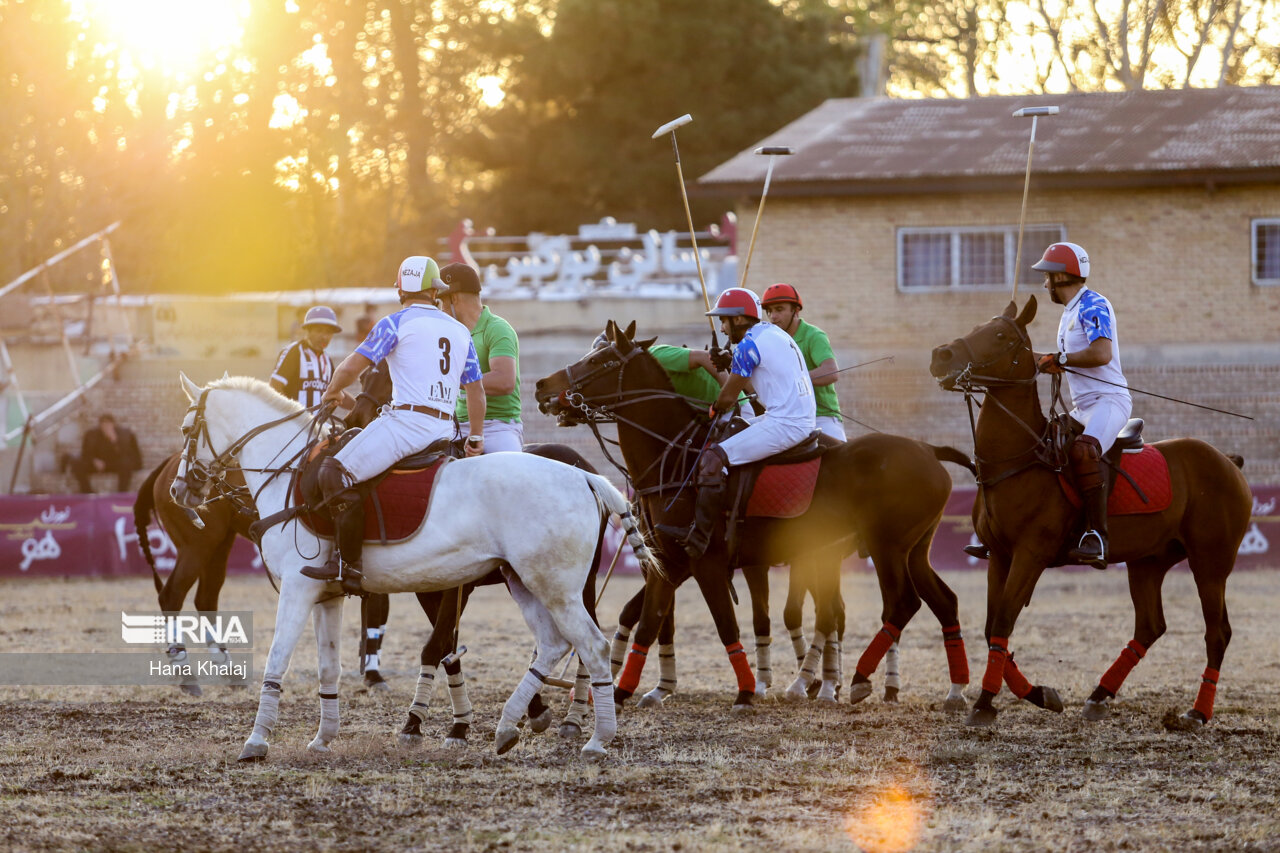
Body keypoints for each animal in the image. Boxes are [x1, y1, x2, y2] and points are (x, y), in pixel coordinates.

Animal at [170, 371, 660, 758]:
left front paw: (255, 742)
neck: (288, 474)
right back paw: (507, 727)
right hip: (522, 580)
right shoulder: (327, 594)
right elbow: (330, 667)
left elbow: (276, 661)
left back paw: (596, 738)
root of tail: (585, 475)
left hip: (556, 586)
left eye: (186, 429)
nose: (178, 492)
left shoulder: (297, 587)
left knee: (592, 646)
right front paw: (323, 738)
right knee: (553, 644)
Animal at [535, 318, 972, 712]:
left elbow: (725, 623)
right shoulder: (669, 563)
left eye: (599, 361)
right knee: (943, 600)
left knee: (899, 604)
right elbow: (648, 622)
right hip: (914, 548)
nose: (542, 386)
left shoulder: (706, 562)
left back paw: (859, 679)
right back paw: (955, 691)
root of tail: (931, 450)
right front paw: (623, 692)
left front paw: (746, 693)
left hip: (885, 547)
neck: (676, 458)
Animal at [931, 297, 1249, 722]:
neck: (1020, 459)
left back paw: (1197, 713)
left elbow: (1004, 619)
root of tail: (1228, 461)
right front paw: (1039, 694)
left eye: (998, 334)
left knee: (1217, 632)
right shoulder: (998, 555)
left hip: (1211, 561)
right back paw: (1099, 695)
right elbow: (990, 626)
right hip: (1149, 561)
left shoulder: (1030, 554)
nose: (940, 355)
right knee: (1150, 626)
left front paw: (985, 703)